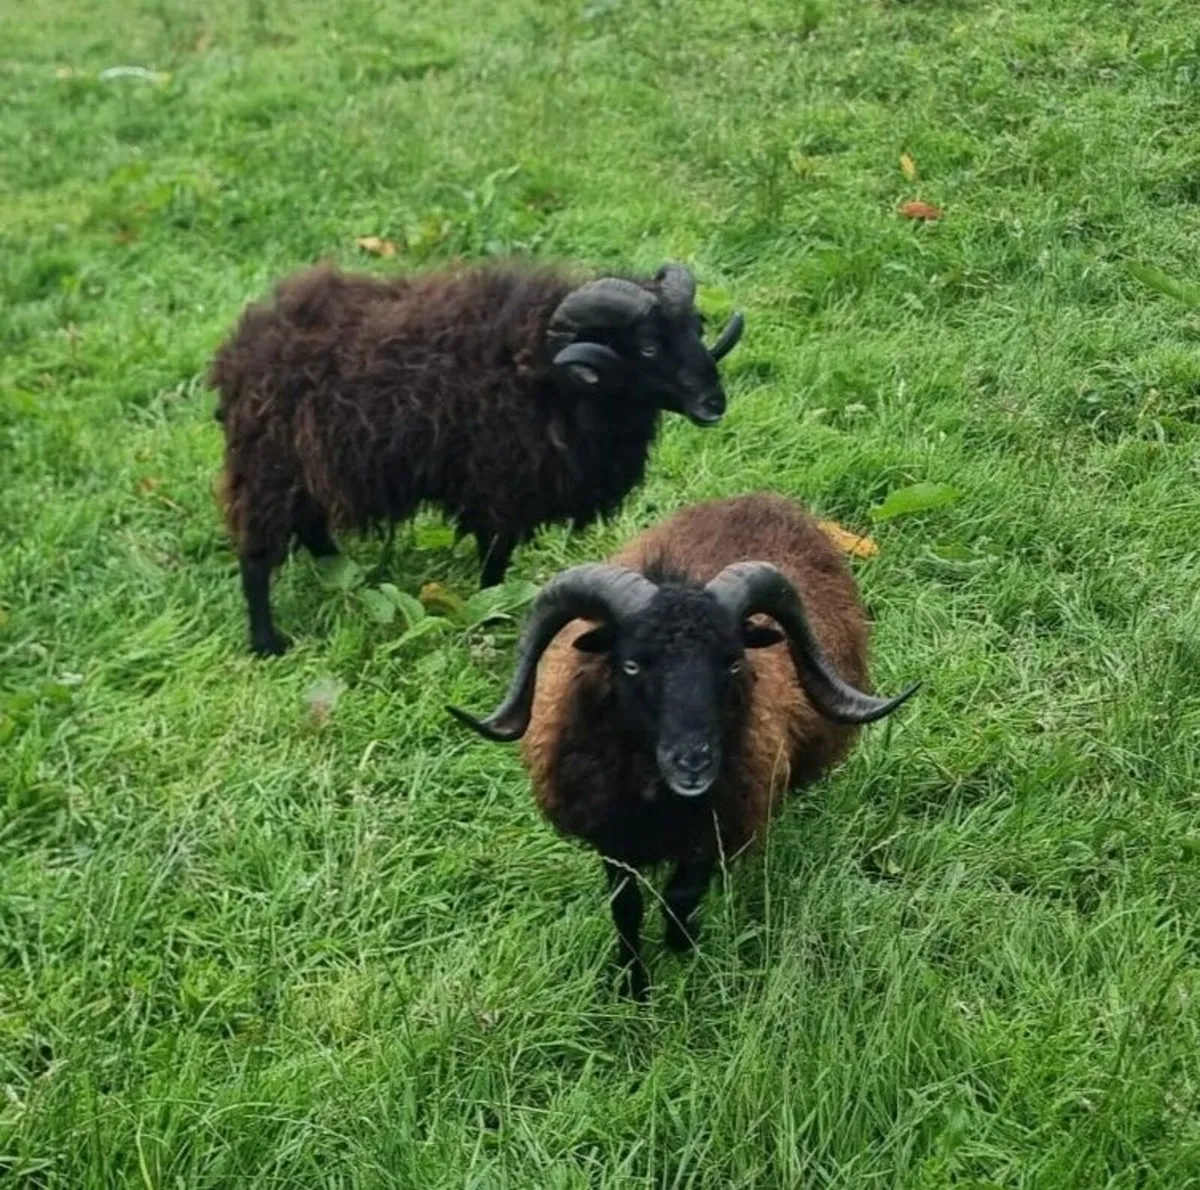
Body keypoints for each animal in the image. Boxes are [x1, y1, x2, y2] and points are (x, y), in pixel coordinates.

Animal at [209, 259, 744, 656]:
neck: (545, 372)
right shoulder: (498, 486)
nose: (714, 403)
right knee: (255, 556)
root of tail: (238, 354)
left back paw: (344, 575)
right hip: (267, 468)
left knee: (313, 527)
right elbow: (495, 557)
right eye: (649, 347)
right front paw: (494, 611)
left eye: (696, 328)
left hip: (312, 468)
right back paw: (266, 643)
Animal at [449, 493, 919, 999]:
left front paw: (683, 947)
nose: (693, 764)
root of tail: (761, 498)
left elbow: (681, 895)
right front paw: (634, 986)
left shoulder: (715, 826)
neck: (657, 799)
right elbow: (626, 908)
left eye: (733, 661)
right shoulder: (611, 837)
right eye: (632, 664)